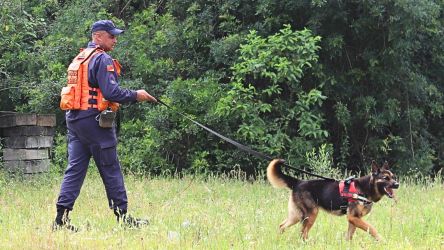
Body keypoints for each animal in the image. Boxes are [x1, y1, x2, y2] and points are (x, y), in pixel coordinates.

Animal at [268, 159, 398, 239]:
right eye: (385, 178)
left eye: (393, 177)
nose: (397, 184)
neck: (365, 188)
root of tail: (298, 182)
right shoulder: (353, 217)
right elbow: (372, 228)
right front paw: (381, 240)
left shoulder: (354, 219)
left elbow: (349, 236)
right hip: (310, 215)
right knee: (302, 233)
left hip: (296, 215)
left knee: (282, 226)